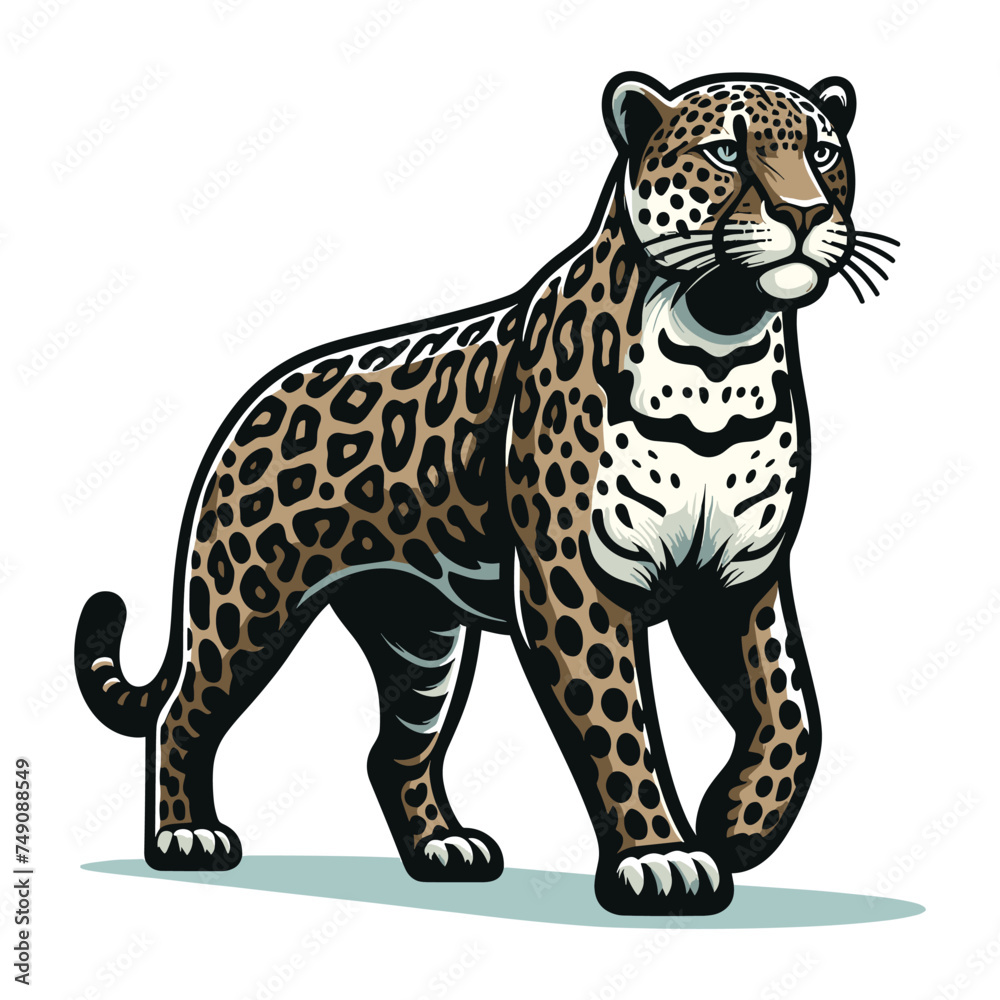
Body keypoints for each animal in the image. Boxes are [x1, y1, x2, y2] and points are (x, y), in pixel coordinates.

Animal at [75, 70, 897, 916]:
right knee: (182, 711)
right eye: (726, 151)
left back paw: (444, 848)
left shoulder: (737, 581)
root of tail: (257, 399)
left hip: (419, 637)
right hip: (246, 596)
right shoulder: (574, 583)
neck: (719, 352)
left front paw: (738, 824)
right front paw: (662, 856)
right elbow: (620, 726)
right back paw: (186, 837)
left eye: (823, 152)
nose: (804, 213)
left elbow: (792, 715)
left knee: (393, 751)